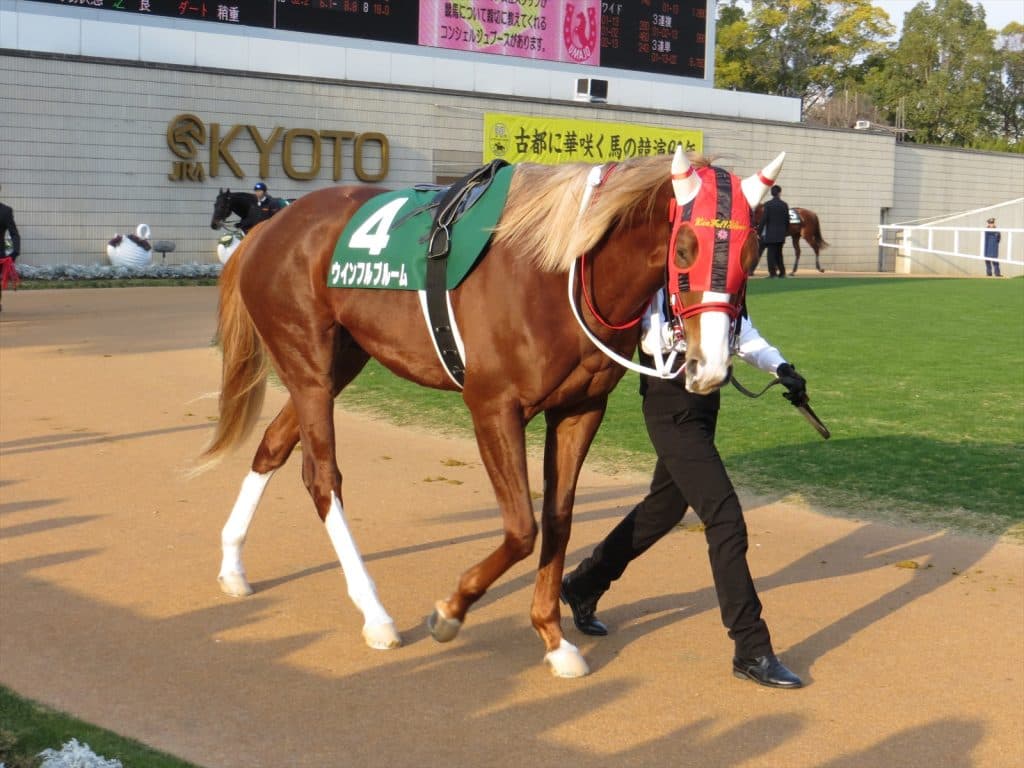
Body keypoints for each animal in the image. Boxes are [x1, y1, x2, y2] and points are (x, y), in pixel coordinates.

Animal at [197, 148, 784, 677]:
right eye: (684, 248)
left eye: (751, 253)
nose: (711, 365)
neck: (556, 270)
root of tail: (267, 230)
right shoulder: (493, 406)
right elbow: (523, 527)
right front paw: (450, 611)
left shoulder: (580, 409)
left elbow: (559, 519)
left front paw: (553, 637)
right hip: (308, 363)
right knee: (322, 476)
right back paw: (375, 614)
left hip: (340, 361)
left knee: (273, 445)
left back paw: (231, 564)